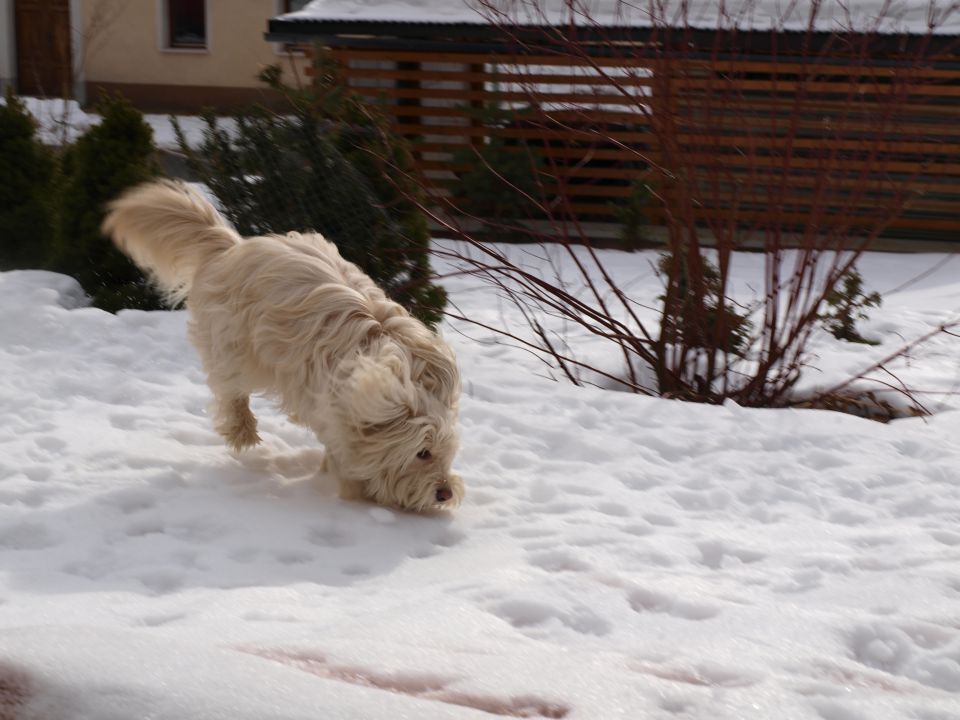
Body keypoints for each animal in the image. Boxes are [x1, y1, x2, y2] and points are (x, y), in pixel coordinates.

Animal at [103, 180, 464, 512]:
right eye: (422, 452)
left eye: (447, 453)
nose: (445, 493)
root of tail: (233, 246)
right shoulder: (336, 412)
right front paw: (355, 499)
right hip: (232, 343)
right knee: (230, 389)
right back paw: (243, 431)